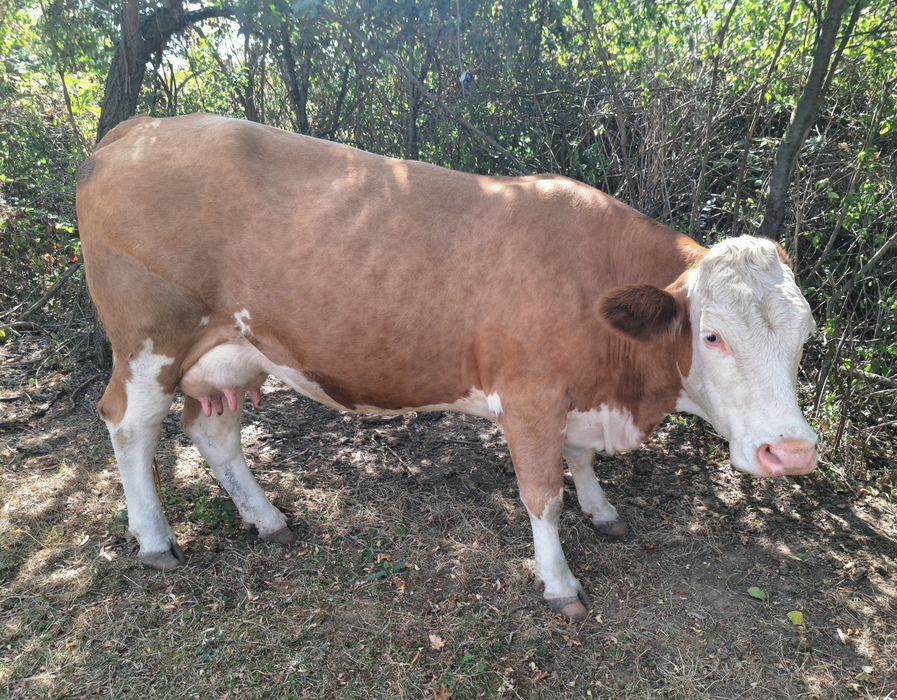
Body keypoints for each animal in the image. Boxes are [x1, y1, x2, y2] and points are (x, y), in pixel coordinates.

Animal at [76, 114, 818, 620]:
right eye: (713, 336)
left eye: (805, 336)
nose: (792, 453)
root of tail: (139, 129)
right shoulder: (529, 396)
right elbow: (541, 493)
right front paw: (558, 581)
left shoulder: (574, 395)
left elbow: (580, 461)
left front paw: (602, 510)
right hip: (149, 341)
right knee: (128, 426)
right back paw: (155, 540)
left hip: (233, 353)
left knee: (215, 434)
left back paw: (268, 520)